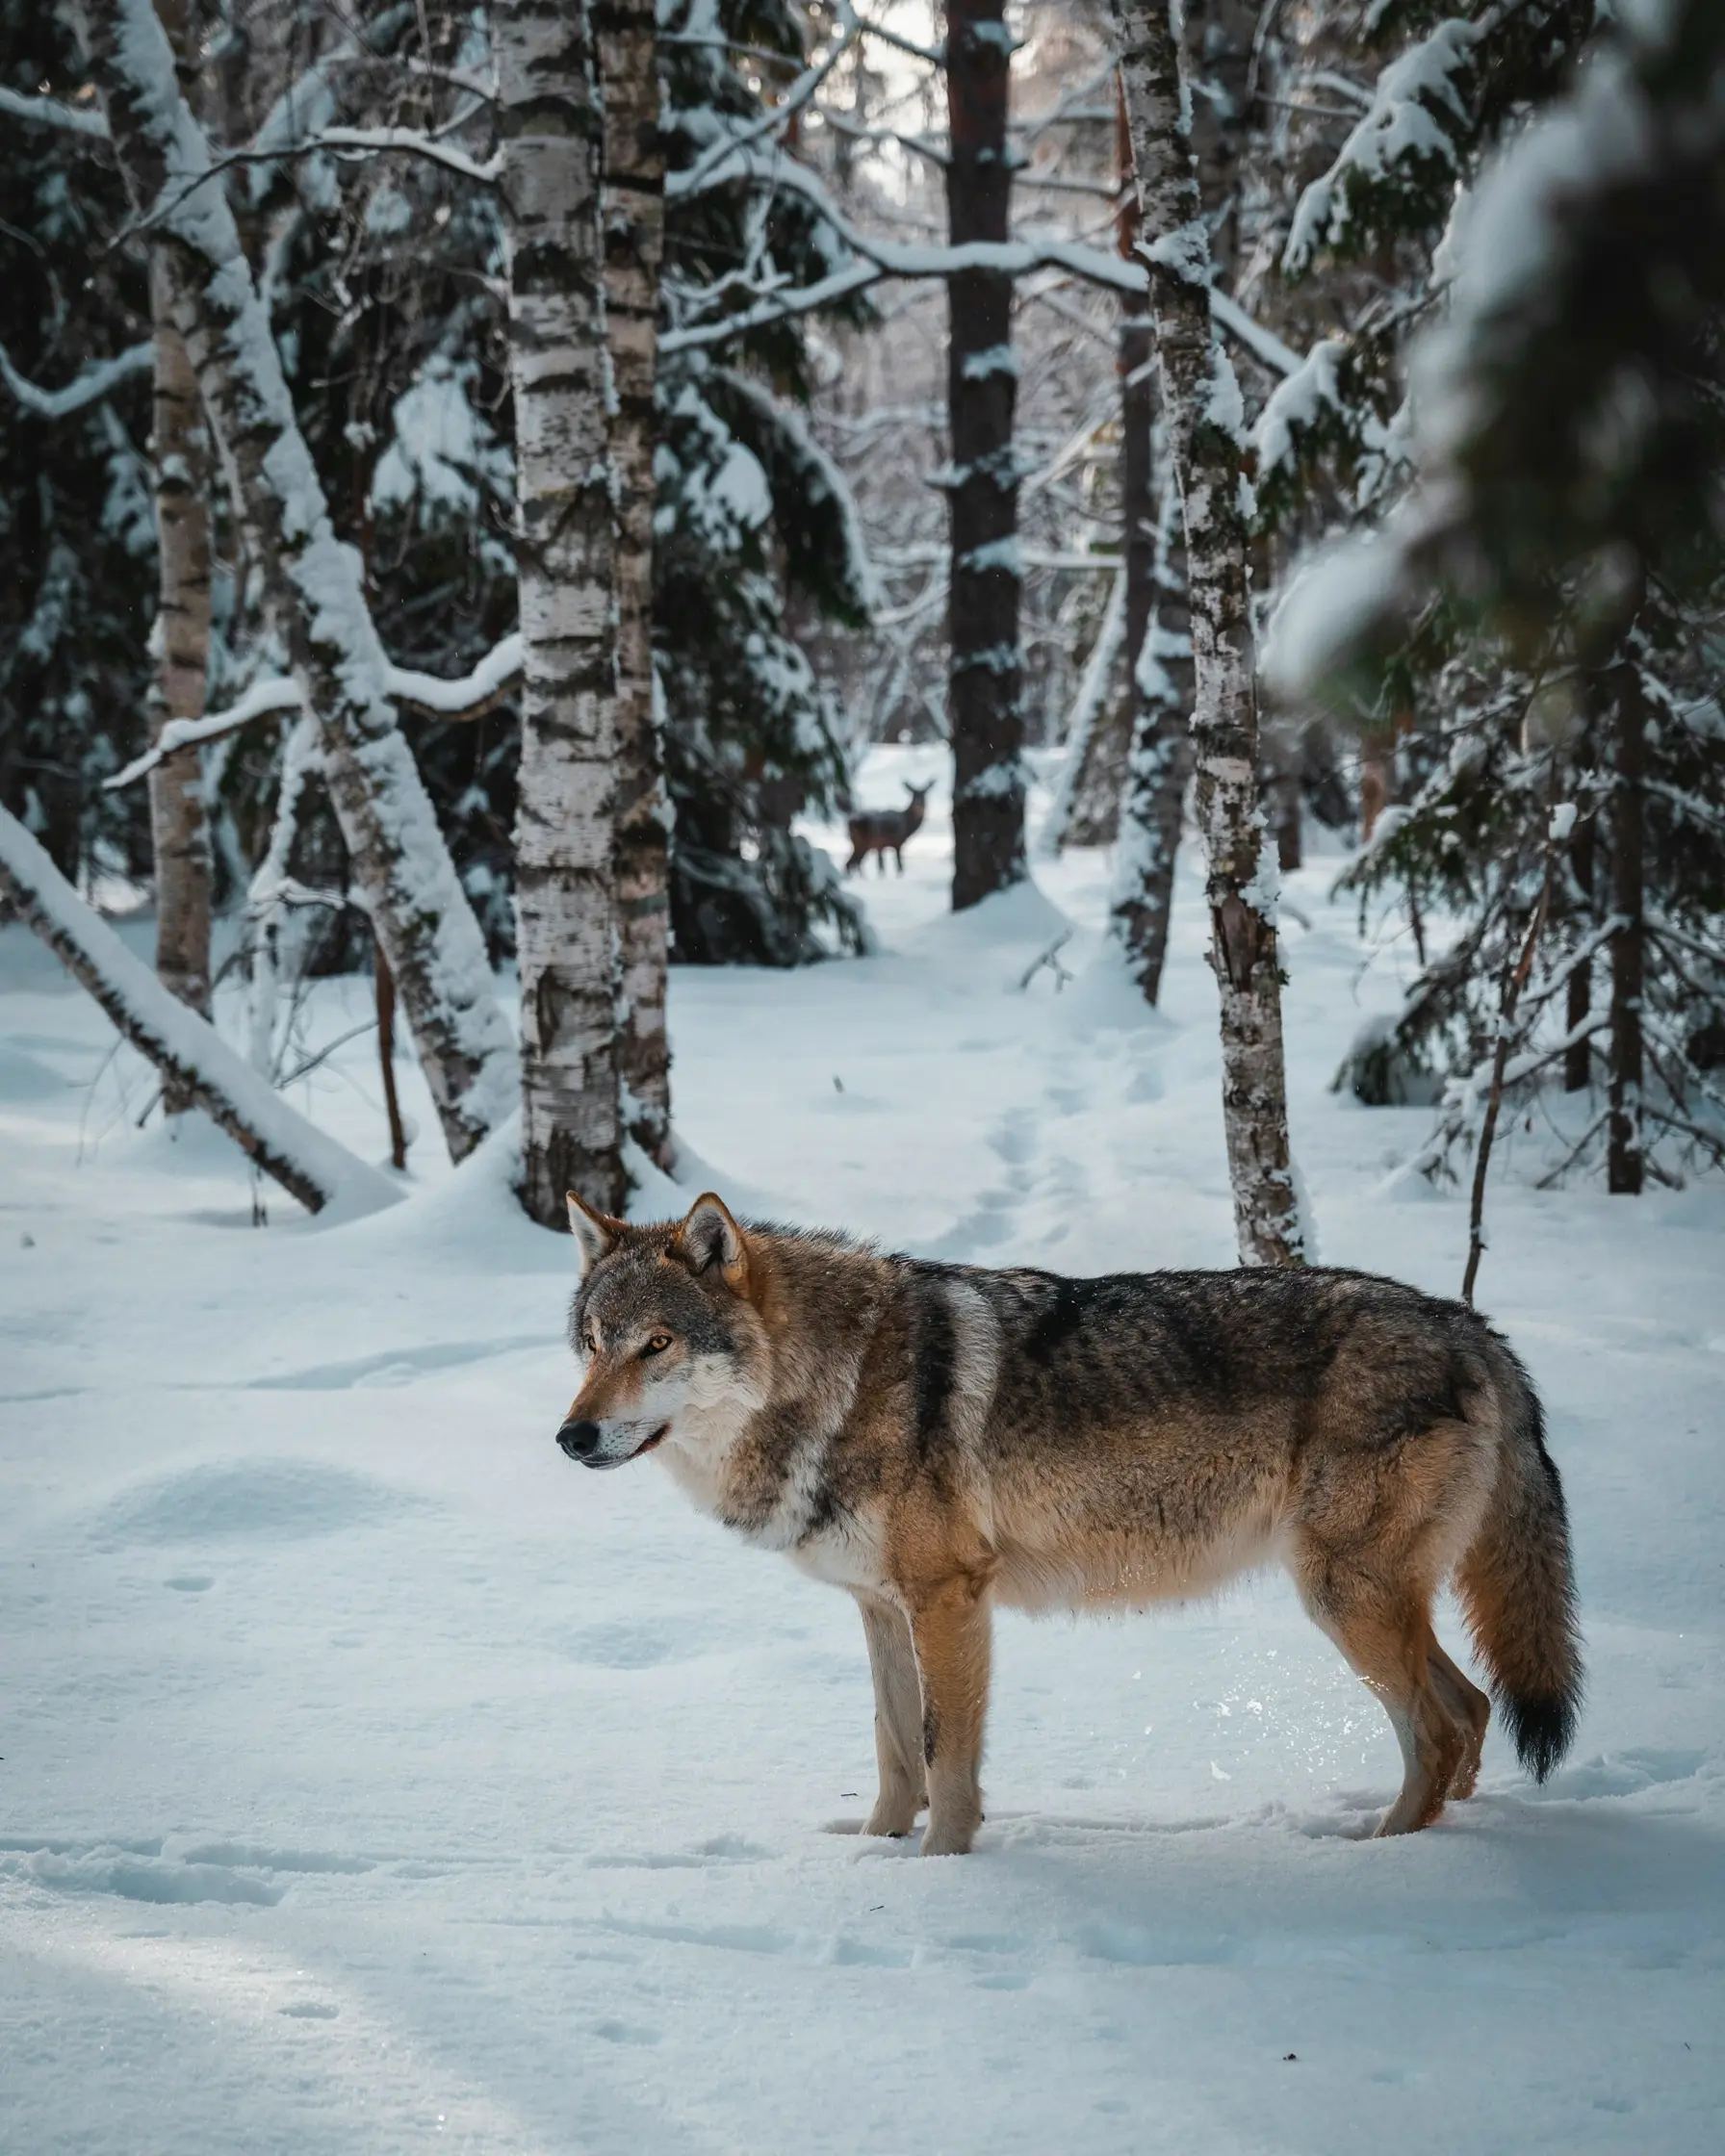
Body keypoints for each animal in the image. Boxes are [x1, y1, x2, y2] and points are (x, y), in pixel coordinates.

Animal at [554, 1190, 1582, 1855]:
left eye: (658, 1345)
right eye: (595, 1344)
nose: (572, 1437)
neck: (833, 1386)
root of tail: (1471, 1323)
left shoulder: (950, 1600)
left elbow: (947, 1758)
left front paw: (940, 1872)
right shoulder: (882, 1608)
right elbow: (894, 1749)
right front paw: (873, 1854)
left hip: (1341, 1596)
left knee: (1441, 1727)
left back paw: (1382, 1860)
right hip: (1370, 1599)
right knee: (1473, 1708)